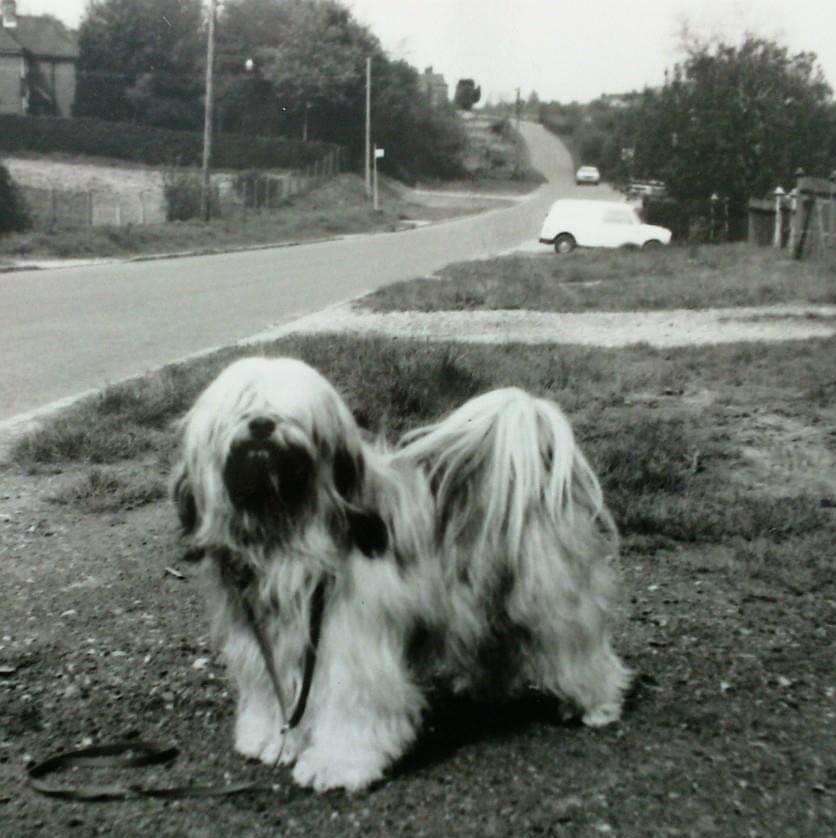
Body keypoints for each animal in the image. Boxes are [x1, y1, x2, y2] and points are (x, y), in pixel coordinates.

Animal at [171, 354, 628, 796]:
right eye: (243, 404)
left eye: (292, 410)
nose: (263, 424)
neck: (283, 527)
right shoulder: (262, 635)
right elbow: (271, 688)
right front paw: (274, 738)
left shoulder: (350, 640)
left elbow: (350, 700)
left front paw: (337, 764)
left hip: (548, 592)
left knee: (576, 643)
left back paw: (597, 703)